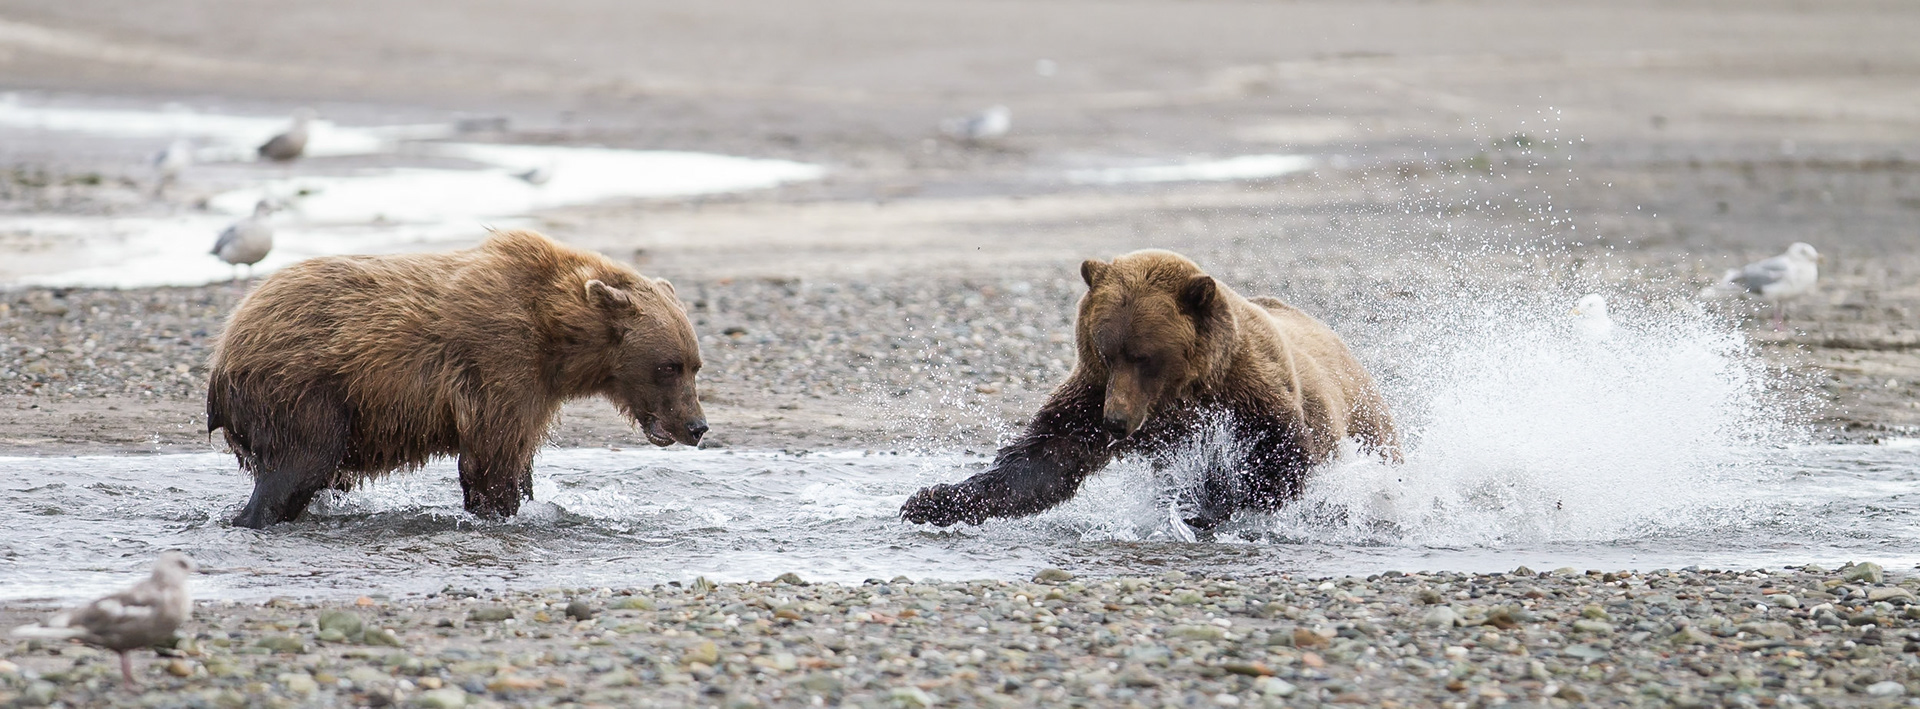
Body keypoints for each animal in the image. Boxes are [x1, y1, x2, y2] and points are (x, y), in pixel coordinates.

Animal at [208, 229, 706, 529]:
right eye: (668, 366)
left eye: (694, 364)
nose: (698, 426)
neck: (558, 337)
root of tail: (226, 345)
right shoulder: (500, 361)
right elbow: (491, 459)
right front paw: (499, 511)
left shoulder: (536, 390)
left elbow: (519, 455)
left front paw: (532, 501)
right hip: (302, 391)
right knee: (299, 466)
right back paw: (252, 518)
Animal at [901, 249, 1399, 531]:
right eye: (1106, 351)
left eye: (1143, 355)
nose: (1116, 423)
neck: (1180, 393)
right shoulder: (1092, 396)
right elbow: (1044, 459)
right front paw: (931, 499)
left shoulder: (1253, 396)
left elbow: (1279, 463)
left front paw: (1203, 506)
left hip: (1367, 425)